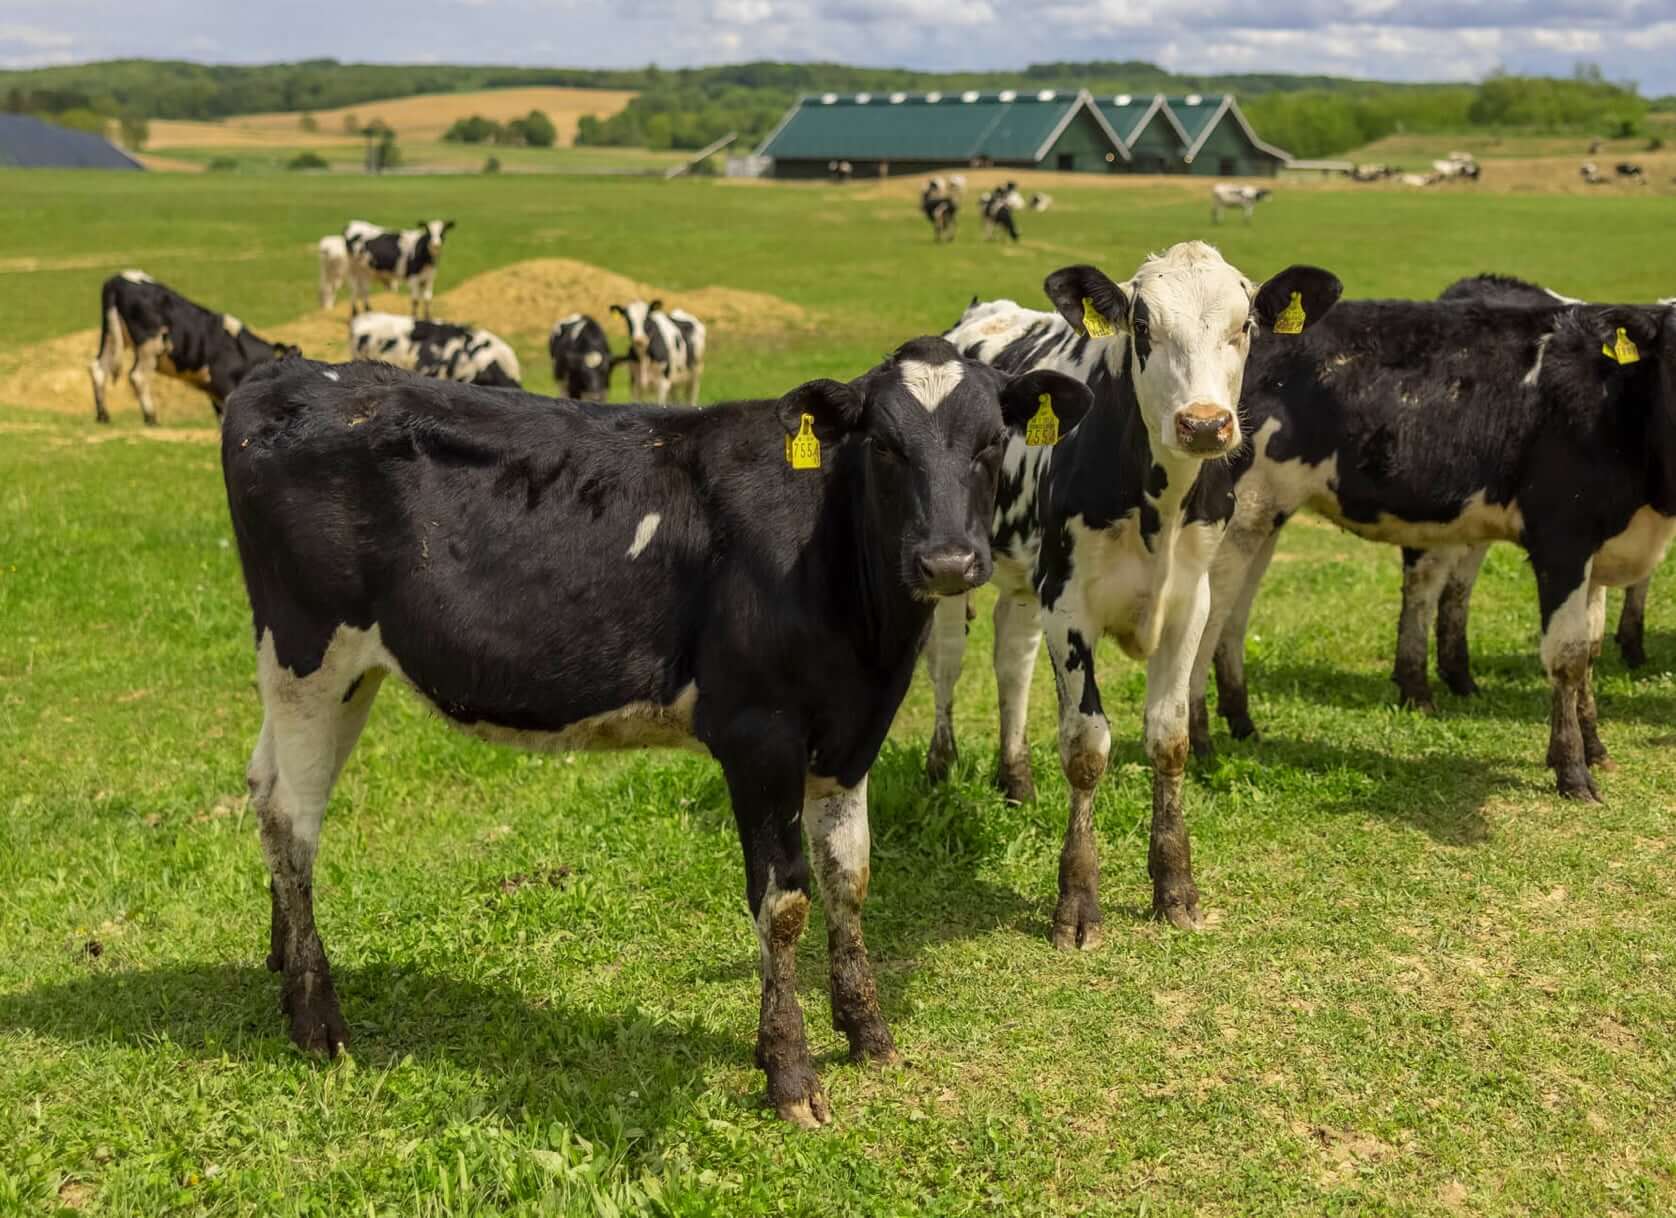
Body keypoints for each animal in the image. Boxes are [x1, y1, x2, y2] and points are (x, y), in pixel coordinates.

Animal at [88, 273, 300, 428]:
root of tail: (118, 279)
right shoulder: (224, 384)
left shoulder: (213, 390)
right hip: (149, 344)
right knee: (137, 376)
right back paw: (151, 418)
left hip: (111, 335)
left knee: (98, 368)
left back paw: (103, 416)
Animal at [219, 338, 1086, 1125]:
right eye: (884, 445)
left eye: (989, 444)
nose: (948, 562)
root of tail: (286, 373)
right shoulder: (758, 736)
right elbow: (784, 902)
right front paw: (789, 1071)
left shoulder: (850, 737)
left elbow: (851, 877)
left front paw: (867, 1030)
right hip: (308, 656)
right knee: (293, 820)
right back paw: (316, 1016)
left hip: (340, 675)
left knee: (265, 790)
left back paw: (280, 960)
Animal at [925, 241, 1340, 944]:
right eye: (1143, 327)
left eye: (1246, 325)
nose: (1204, 424)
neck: (1158, 505)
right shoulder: (1068, 606)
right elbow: (1086, 747)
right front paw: (1076, 901)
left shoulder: (1190, 602)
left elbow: (1169, 739)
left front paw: (1175, 887)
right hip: (959, 573)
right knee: (949, 662)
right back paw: (940, 767)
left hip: (1025, 577)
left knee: (1012, 662)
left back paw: (1016, 780)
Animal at [1193, 291, 1676, 804]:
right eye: (1672, 355)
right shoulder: (1561, 544)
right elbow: (1567, 658)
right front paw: (1572, 770)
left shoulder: (1598, 553)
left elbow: (1590, 650)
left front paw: (1595, 747)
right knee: (1208, 622)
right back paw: (1202, 741)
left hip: (1264, 516)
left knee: (1233, 618)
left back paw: (1242, 723)